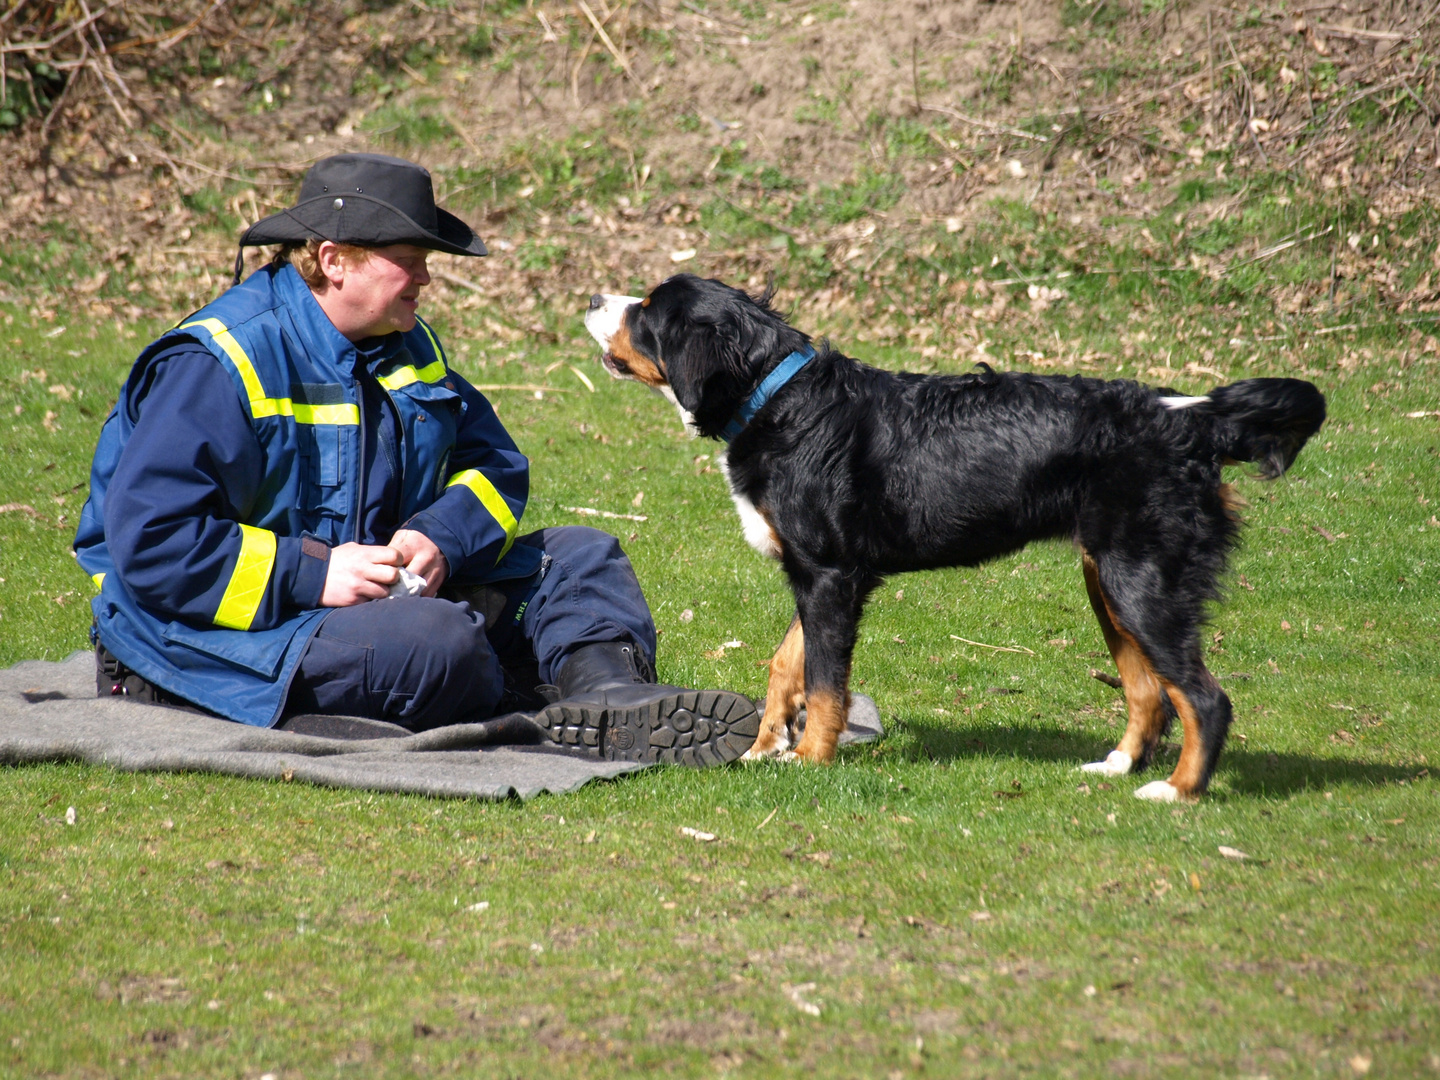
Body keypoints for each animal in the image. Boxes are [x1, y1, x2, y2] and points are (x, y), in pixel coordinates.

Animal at [584, 276, 1324, 806]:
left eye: (646, 311)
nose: (592, 298)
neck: (779, 402)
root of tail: (1191, 415)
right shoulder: (818, 573)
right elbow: (787, 664)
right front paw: (764, 748)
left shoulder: (830, 575)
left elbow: (824, 684)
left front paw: (810, 760)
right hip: (1109, 583)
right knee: (1149, 692)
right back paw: (1116, 767)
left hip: (1142, 583)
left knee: (1204, 698)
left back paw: (1177, 791)